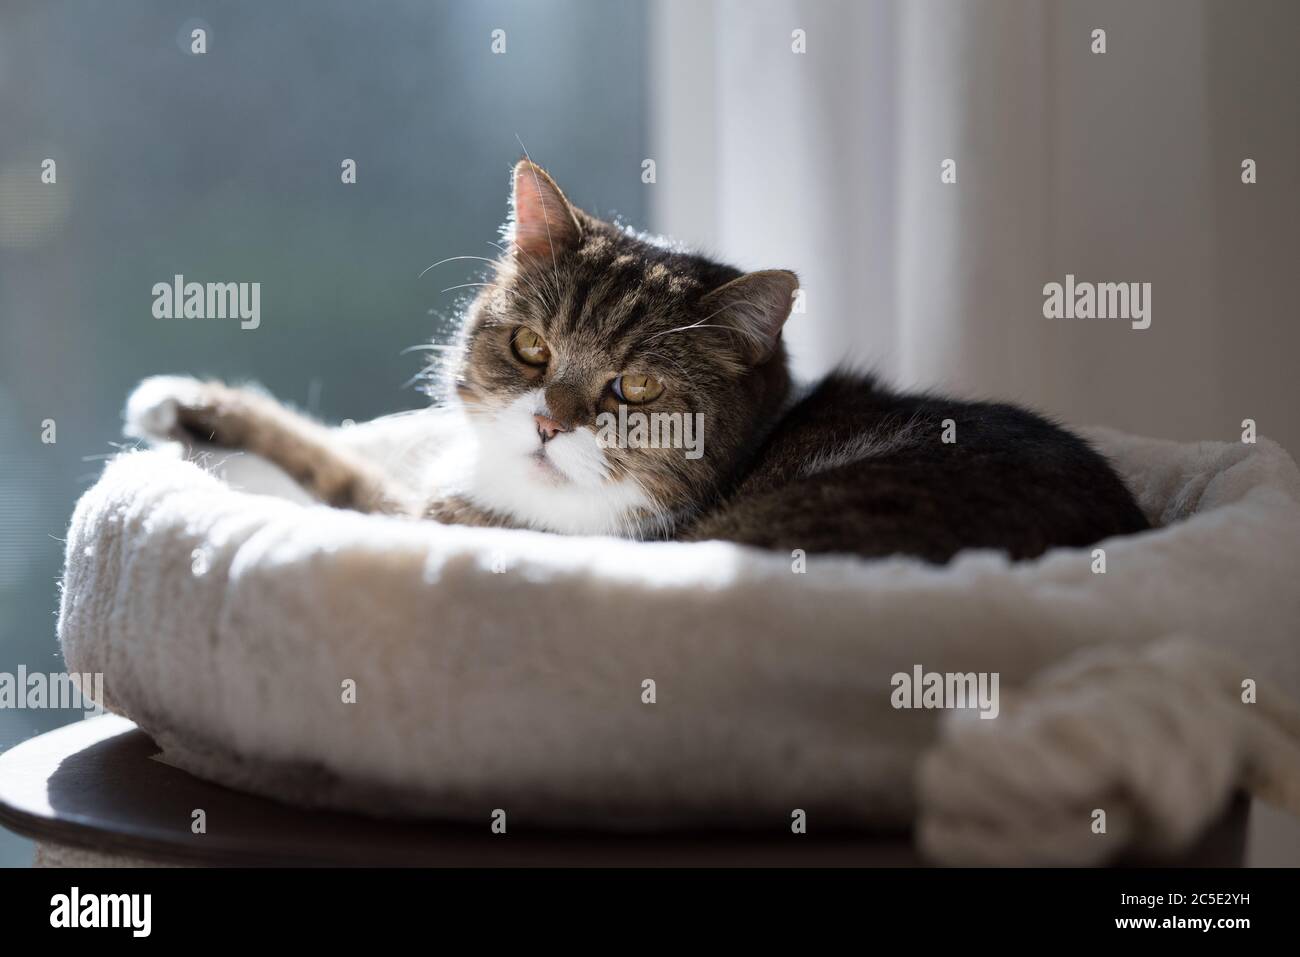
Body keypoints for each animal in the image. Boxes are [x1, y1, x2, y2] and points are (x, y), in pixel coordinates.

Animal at [124, 157, 1149, 561]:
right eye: (531, 346)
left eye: (638, 386)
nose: (549, 421)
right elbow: (338, 453)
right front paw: (189, 406)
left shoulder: (450, 521)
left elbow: (350, 489)